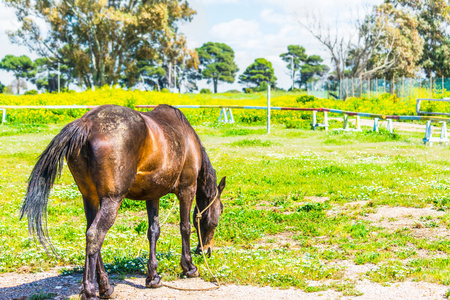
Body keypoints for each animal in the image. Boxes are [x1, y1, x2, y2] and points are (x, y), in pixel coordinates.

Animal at [20, 104, 225, 298]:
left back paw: (105, 287)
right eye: (220, 211)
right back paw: (91, 291)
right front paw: (189, 267)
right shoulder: (187, 189)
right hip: (112, 200)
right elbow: (185, 227)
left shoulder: (152, 195)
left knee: (90, 235)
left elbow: (153, 231)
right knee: (95, 235)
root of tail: (87, 123)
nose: (206, 250)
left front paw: (153, 276)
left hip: (90, 198)